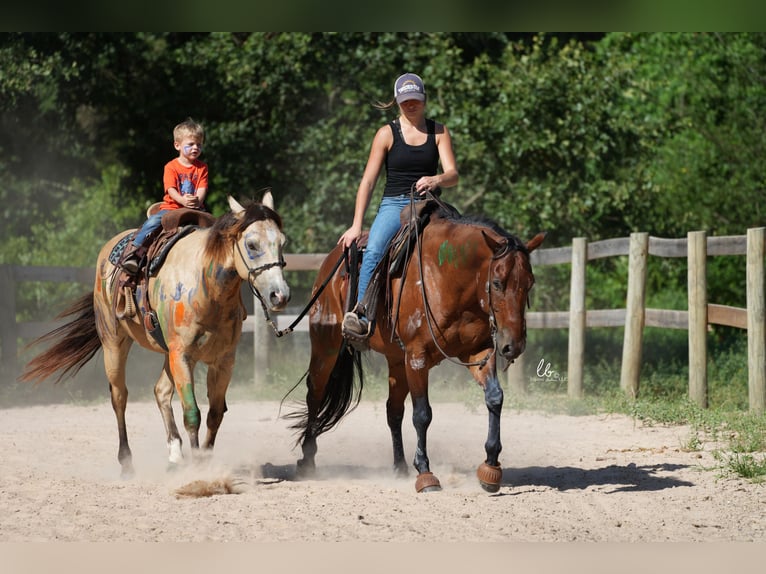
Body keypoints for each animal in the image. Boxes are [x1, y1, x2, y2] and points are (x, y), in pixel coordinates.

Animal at [21, 192, 292, 476]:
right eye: (251, 244)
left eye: (282, 241)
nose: (280, 295)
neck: (207, 287)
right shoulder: (182, 356)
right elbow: (192, 413)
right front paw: (198, 467)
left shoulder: (223, 360)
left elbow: (215, 414)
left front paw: (205, 460)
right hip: (114, 344)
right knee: (119, 397)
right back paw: (127, 462)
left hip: (167, 355)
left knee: (160, 391)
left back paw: (175, 455)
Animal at [292, 200, 544, 492]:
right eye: (497, 283)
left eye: (530, 283)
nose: (513, 345)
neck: (448, 279)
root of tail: (330, 264)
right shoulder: (417, 358)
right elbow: (422, 414)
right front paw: (425, 473)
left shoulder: (478, 352)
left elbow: (494, 398)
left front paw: (490, 467)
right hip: (326, 346)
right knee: (315, 394)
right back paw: (307, 460)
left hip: (395, 360)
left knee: (393, 411)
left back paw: (399, 467)